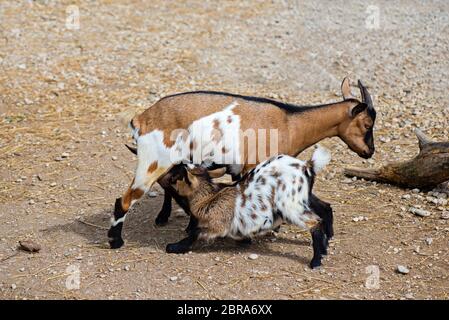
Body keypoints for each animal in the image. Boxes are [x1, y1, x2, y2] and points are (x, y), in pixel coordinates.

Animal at [164, 146, 332, 268]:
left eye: (176, 176)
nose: (166, 176)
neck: (208, 198)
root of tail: (306, 165)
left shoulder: (218, 225)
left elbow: (195, 232)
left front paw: (173, 247)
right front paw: (245, 240)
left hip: (290, 206)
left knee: (315, 223)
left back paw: (315, 262)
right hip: (302, 198)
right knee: (323, 211)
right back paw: (324, 249)